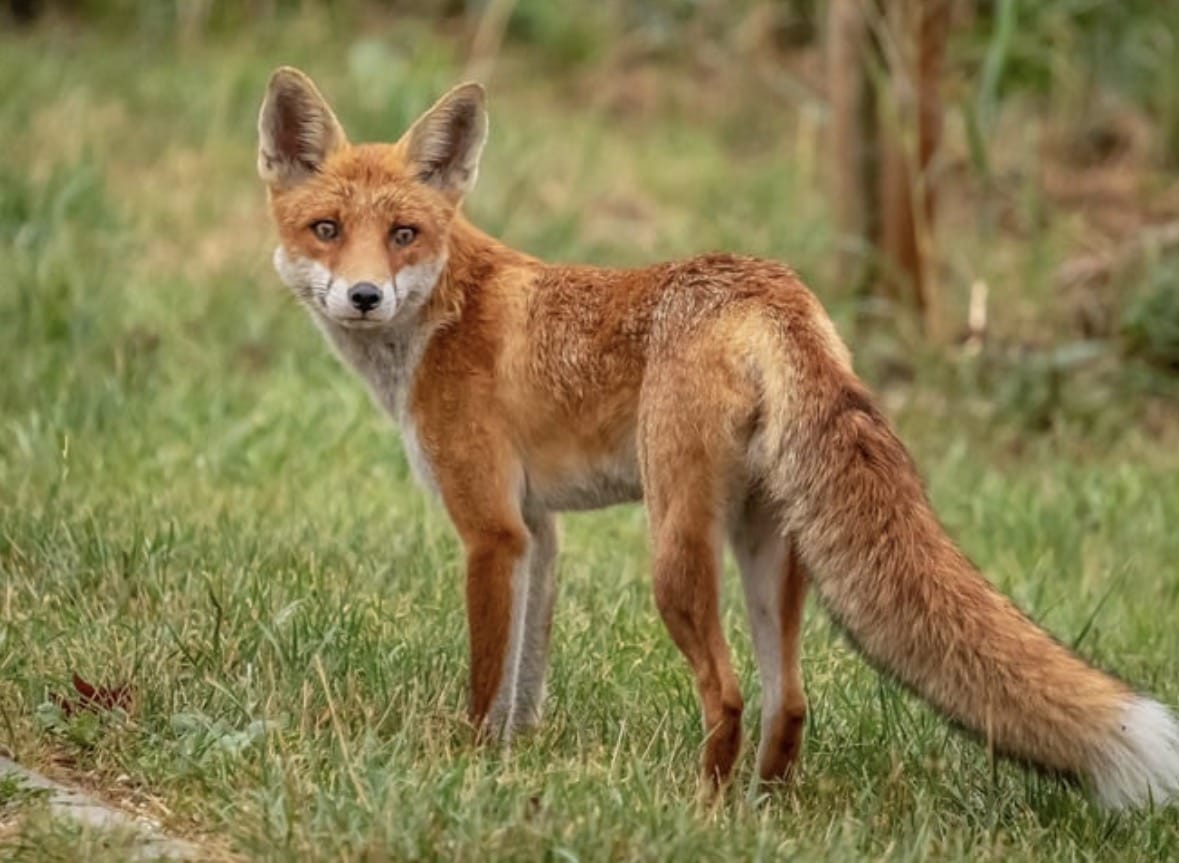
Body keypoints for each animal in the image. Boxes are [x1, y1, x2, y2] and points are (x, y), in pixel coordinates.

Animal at [256, 66, 1179, 809]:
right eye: (327, 229)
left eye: (403, 234)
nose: (365, 296)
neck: (440, 316)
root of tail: (769, 286)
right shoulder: (538, 532)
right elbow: (526, 678)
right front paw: (515, 761)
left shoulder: (490, 529)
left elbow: (488, 679)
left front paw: (470, 766)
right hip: (768, 548)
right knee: (790, 700)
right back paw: (762, 810)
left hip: (674, 551)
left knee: (728, 693)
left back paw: (699, 807)